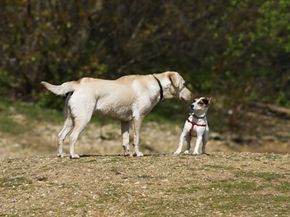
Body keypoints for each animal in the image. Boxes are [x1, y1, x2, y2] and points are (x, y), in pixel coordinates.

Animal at [40, 71, 190, 158]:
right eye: (183, 84)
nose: (191, 95)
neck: (157, 84)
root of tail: (77, 84)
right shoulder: (138, 117)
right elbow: (136, 138)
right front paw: (138, 153)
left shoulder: (125, 121)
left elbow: (125, 140)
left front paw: (127, 154)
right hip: (83, 119)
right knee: (72, 137)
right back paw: (73, 155)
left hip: (70, 120)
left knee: (61, 136)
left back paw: (61, 154)